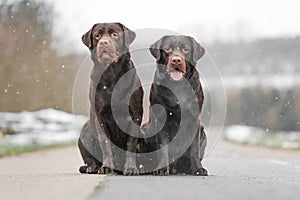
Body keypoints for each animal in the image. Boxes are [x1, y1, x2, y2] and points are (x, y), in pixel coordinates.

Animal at [77, 22, 143, 175]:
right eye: (97, 36)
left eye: (115, 34)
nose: (104, 42)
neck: (112, 75)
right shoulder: (100, 117)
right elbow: (106, 145)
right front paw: (106, 167)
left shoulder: (135, 115)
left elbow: (131, 145)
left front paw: (131, 168)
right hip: (83, 135)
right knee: (89, 159)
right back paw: (93, 167)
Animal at [144, 35, 209, 175]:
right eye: (168, 49)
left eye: (186, 49)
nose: (176, 60)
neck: (177, 86)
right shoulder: (161, 119)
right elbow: (163, 147)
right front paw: (162, 168)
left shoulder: (194, 119)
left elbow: (194, 147)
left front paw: (198, 168)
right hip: (145, 127)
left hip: (202, 130)